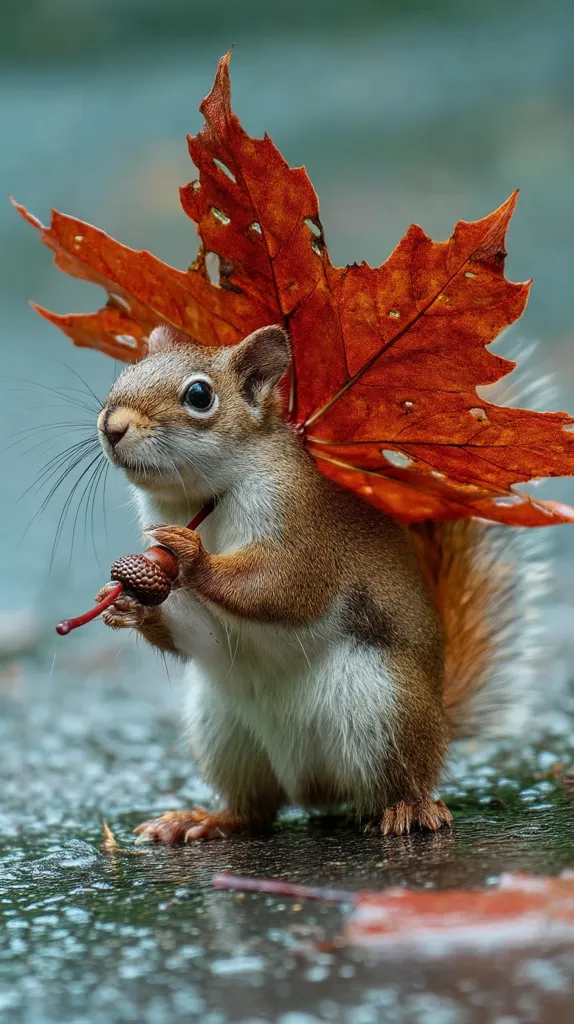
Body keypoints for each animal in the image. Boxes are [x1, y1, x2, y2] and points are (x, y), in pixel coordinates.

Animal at [95, 323, 543, 841]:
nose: (112, 427)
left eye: (199, 395)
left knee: (400, 780)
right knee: (254, 809)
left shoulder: (305, 527)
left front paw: (194, 556)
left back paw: (409, 809)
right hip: (225, 733)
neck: (203, 498)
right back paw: (203, 821)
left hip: (387, 711)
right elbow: (200, 634)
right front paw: (127, 605)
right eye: (125, 374)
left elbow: (283, 585)